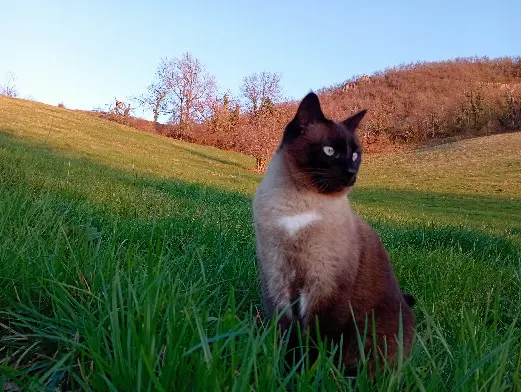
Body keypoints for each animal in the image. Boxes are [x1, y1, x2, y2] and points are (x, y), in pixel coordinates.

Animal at [252, 91, 414, 374]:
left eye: (355, 155)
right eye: (330, 151)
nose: (351, 174)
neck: (299, 206)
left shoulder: (325, 286)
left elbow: (317, 343)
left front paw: (305, 373)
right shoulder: (277, 279)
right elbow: (286, 335)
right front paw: (283, 369)